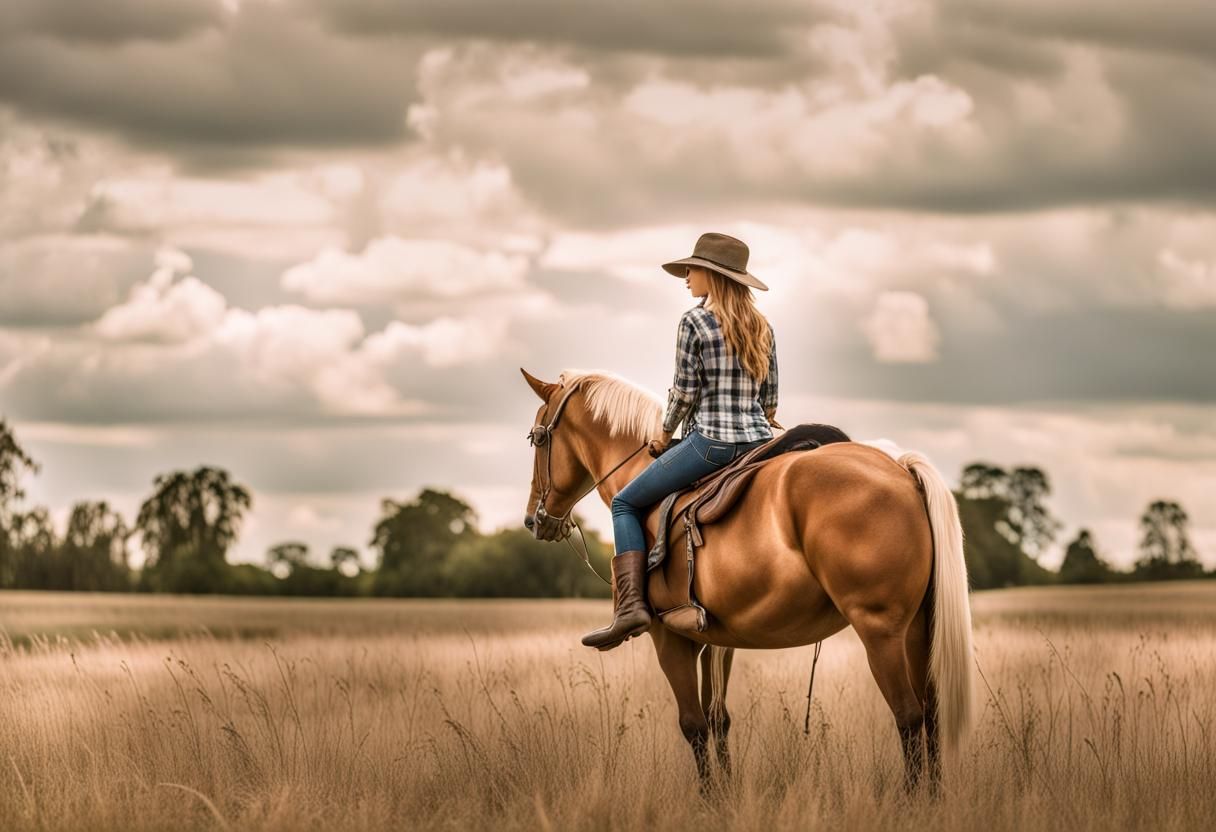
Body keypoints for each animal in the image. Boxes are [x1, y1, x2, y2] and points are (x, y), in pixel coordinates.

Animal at [518, 369, 972, 788]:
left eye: (537, 439)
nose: (534, 520)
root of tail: (901, 468)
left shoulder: (669, 637)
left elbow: (693, 724)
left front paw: (710, 800)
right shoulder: (715, 641)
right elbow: (718, 718)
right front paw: (726, 795)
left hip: (879, 630)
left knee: (909, 715)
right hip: (917, 629)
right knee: (931, 712)